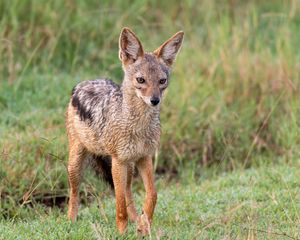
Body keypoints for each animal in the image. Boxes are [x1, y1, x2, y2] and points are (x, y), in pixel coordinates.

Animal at [65, 27, 183, 235]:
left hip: (129, 167)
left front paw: (144, 226)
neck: (139, 126)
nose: (155, 100)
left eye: (162, 81)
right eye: (141, 80)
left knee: (128, 192)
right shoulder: (118, 161)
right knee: (74, 192)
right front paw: (121, 232)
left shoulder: (145, 157)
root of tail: (84, 83)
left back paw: (136, 219)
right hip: (77, 163)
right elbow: (119, 204)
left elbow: (152, 195)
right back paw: (71, 220)